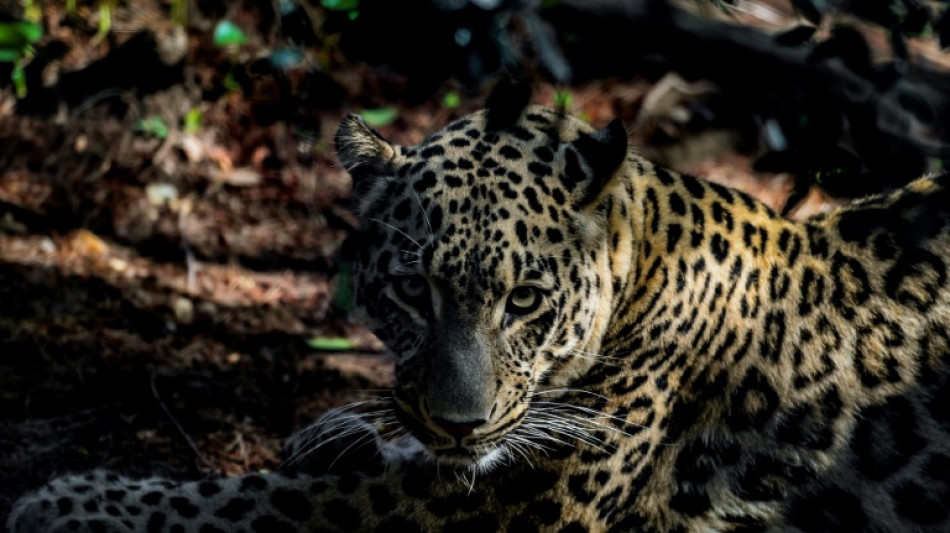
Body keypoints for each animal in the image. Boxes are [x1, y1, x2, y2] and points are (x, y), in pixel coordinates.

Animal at [8, 94, 950, 533]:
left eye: (524, 300)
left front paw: (72, 500)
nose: (459, 423)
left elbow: (262, 501)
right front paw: (338, 429)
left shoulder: (504, 502)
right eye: (411, 292)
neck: (642, 257)